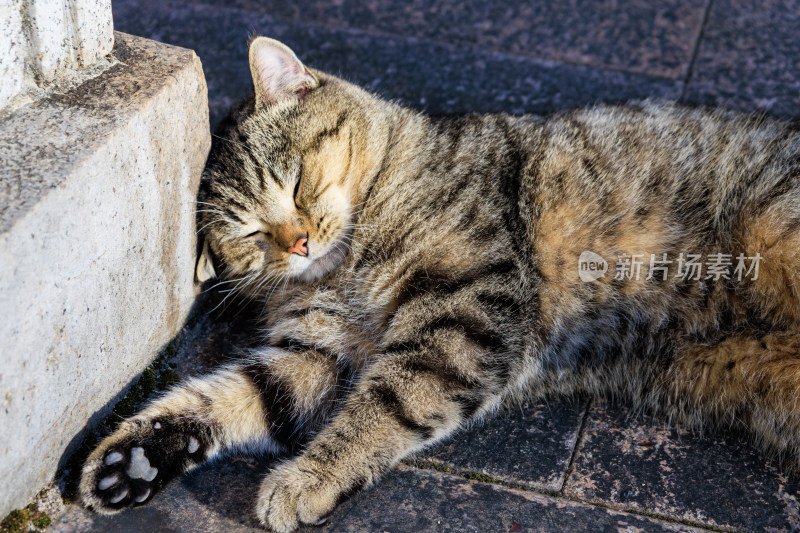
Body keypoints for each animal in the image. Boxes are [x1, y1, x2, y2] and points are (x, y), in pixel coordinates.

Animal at [81, 35, 800, 528]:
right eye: (252, 236)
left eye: (295, 182)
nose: (300, 241)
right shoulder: (316, 353)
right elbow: (233, 395)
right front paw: (136, 457)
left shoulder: (465, 304)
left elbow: (385, 402)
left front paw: (306, 478)